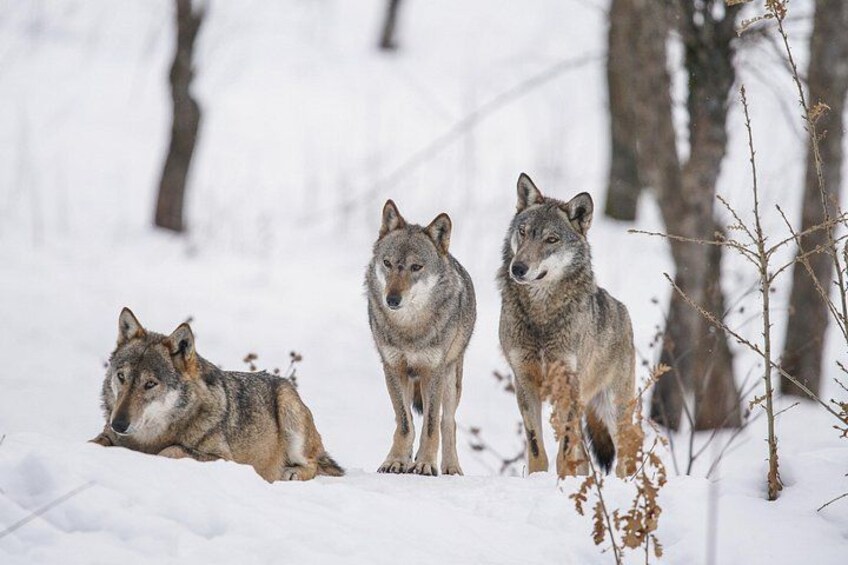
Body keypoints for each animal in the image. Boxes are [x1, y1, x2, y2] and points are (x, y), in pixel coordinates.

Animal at [89, 308, 344, 482]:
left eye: (150, 384)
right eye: (122, 376)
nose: (118, 424)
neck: (150, 438)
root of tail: (284, 382)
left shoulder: (224, 459)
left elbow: (171, 450)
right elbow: (97, 442)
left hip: (288, 411)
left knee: (313, 465)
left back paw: (291, 473)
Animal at [366, 200, 476, 476]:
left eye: (416, 267)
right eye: (387, 263)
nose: (392, 299)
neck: (410, 329)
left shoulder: (433, 371)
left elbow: (431, 425)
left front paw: (426, 463)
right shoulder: (393, 367)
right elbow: (405, 423)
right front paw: (396, 460)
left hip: (450, 378)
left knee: (448, 422)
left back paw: (450, 467)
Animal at [498, 173, 635, 478]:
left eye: (551, 239)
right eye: (523, 232)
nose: (518, 268)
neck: (541, 314)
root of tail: (623, 310)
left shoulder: (568, 386)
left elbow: (564, 451)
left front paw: (563, 481)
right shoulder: (523, 382)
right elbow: (536, 448)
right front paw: (538, 479)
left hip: (613, 411)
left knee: (625, 459)